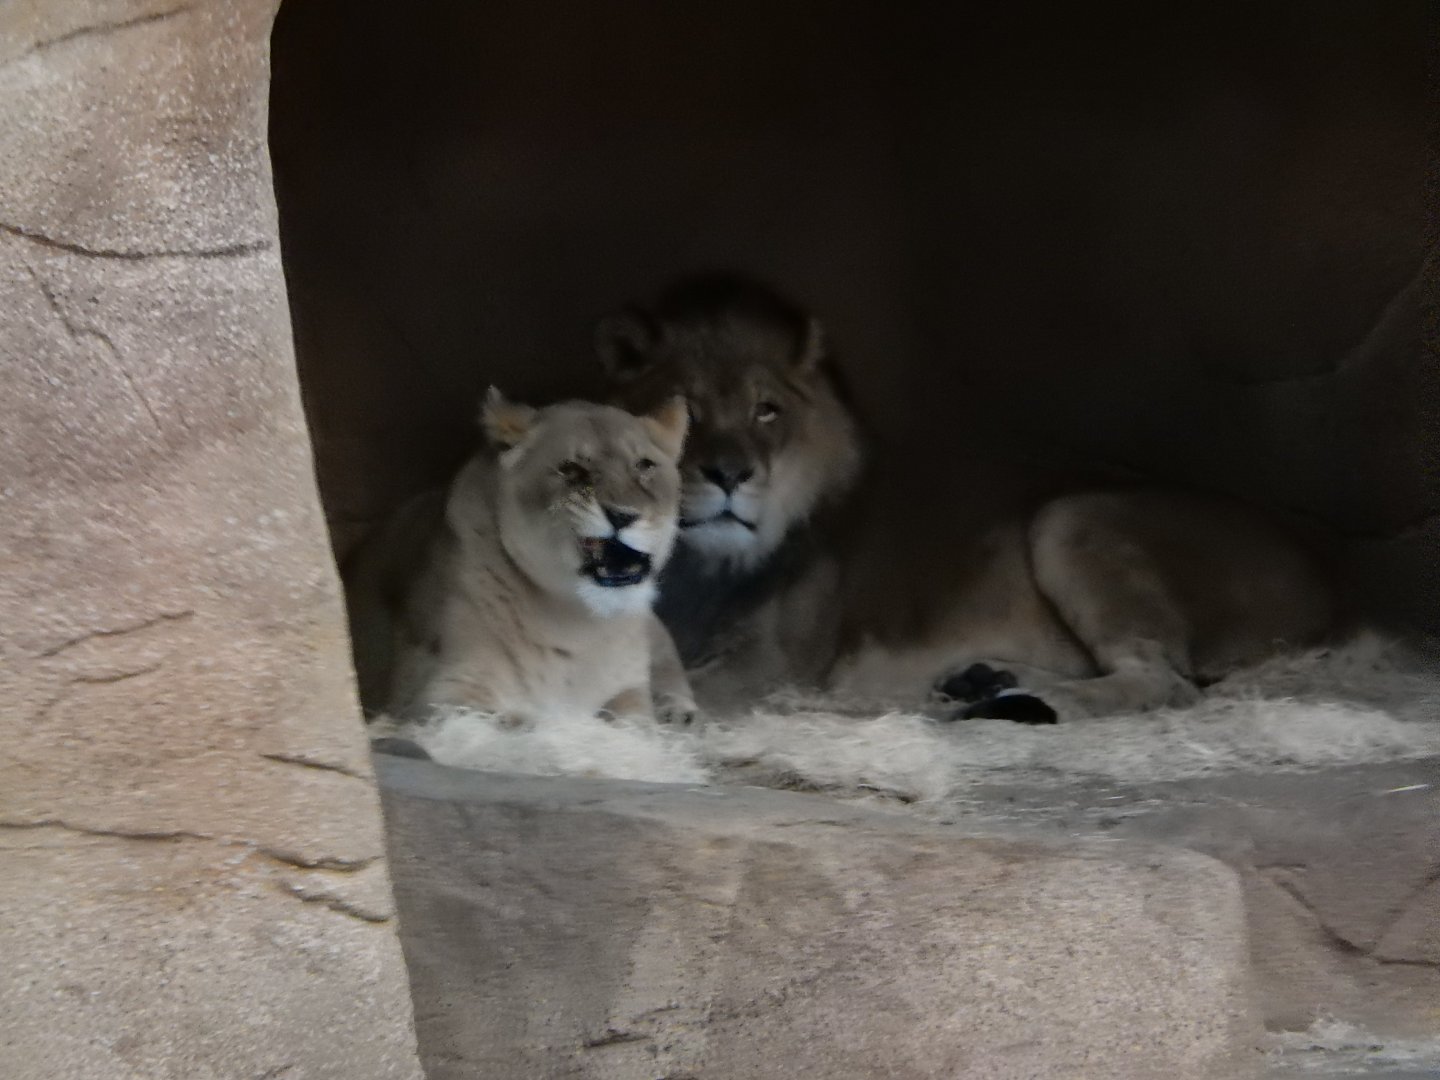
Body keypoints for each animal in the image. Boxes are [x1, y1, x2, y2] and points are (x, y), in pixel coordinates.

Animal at [342, 387, 697, 742]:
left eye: (644, 465)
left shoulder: (628, 689)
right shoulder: (436, 695)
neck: (578, 620)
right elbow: (516, 721)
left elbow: (635, 723)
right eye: (570, 469)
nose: (623, 515)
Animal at [597, 274, 1333, 721]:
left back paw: (1020, 697)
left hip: (1071, 516)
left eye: (766, 411)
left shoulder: (771, 669)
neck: (696, 565)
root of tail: (1332, 581)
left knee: (1163, 681)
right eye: (686, 408)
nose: (729, 474)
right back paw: (984, 680)